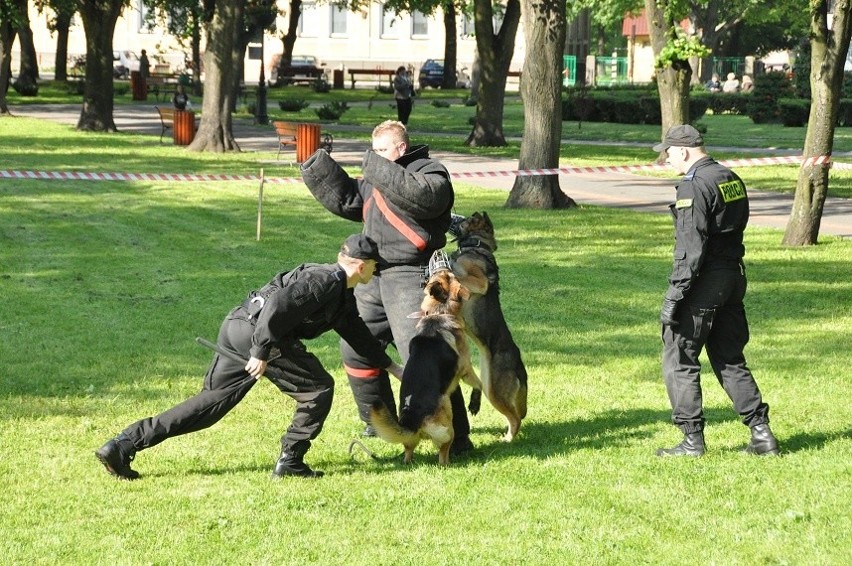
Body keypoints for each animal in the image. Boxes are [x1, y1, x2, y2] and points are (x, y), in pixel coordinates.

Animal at [372, 270, 482, 466]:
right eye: (452, 276)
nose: (443, 267)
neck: (439, 312)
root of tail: (412, 420)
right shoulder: (466, 368)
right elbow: (480, 384)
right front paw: (474, 404)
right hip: (447, 422)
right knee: (442, 456)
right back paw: (451, 463)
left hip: (411, 441)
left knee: (408, 452)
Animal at [450, 213, 528, 444]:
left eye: (464, 220)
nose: (451, 217)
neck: (477, 246)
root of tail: (518, 363)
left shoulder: (479, 282)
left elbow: (458, 273)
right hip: (489, 386)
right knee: (512, 415)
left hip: (495, 392)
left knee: (516, 418)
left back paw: (508, 440)